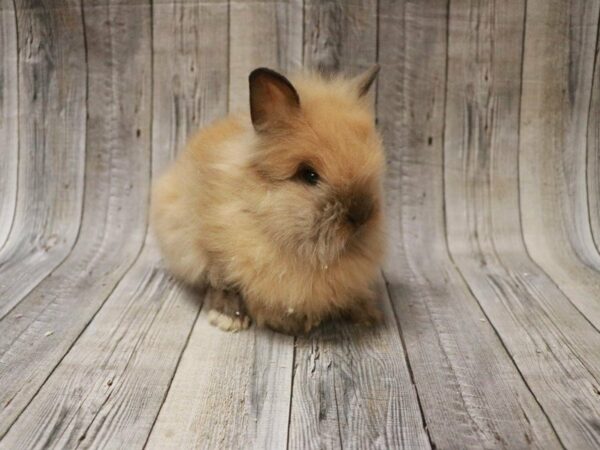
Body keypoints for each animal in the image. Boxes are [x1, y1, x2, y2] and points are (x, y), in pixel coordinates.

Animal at [150, 66, 384, 334]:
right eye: (309, 175)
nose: (361, 216)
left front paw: (366, 314)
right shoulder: (214, 254)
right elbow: (225, 284)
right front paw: (231, 318)